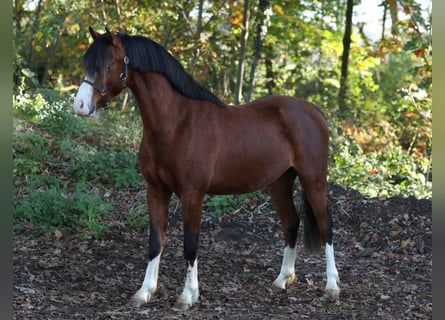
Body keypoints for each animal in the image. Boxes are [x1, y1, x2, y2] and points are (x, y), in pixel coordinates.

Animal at [73, 27, 338, 310]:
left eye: (108, 65)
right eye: (87, 64)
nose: (79, 106)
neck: (177, 123)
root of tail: (314, 111)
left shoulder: (192, 194)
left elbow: (191, 244)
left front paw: (188, 296)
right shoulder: (155, 191)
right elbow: (155, 242)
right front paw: (145, 292)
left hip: (313, 179)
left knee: (326, 226)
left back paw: (332, 286)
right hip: (279, 184)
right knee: (291, 223)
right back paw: (282, 280)